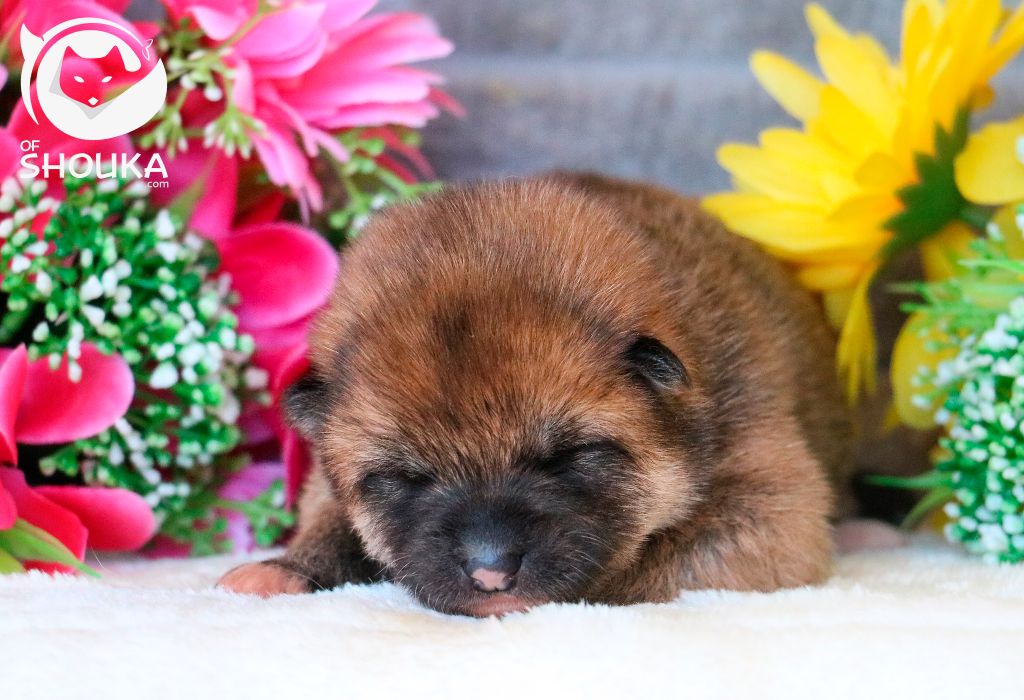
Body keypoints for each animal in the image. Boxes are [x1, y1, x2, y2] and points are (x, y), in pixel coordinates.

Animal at [218, 173, 855, 616]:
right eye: (403, 478)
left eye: (570, 457)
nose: (490, 574)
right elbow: (331, 515)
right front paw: (286, 566)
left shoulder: (773, 502)